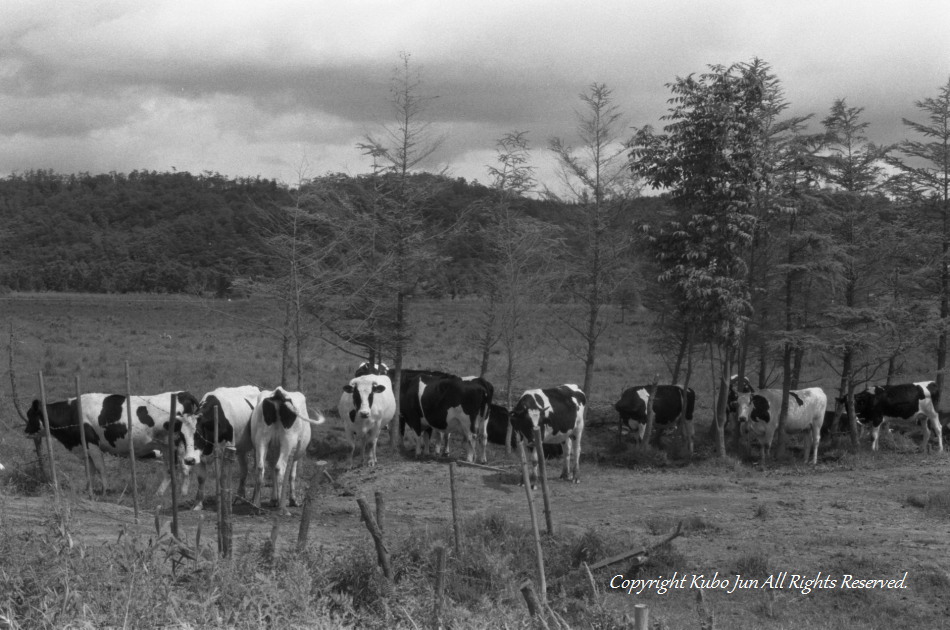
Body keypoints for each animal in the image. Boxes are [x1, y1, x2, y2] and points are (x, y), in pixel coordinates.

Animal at [26, 390, 203, 498]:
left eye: (30, 415)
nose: (25, 430)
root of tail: (182, 393)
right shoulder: (85, 448)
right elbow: (90, 470)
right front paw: (88, 490)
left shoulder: (92, 444)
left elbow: (100, 468)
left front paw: (105, 490)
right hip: (166, 447)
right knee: (172, 469)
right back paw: (166, 494)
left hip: (178, 445)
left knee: (182, 467)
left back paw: (176, 494)